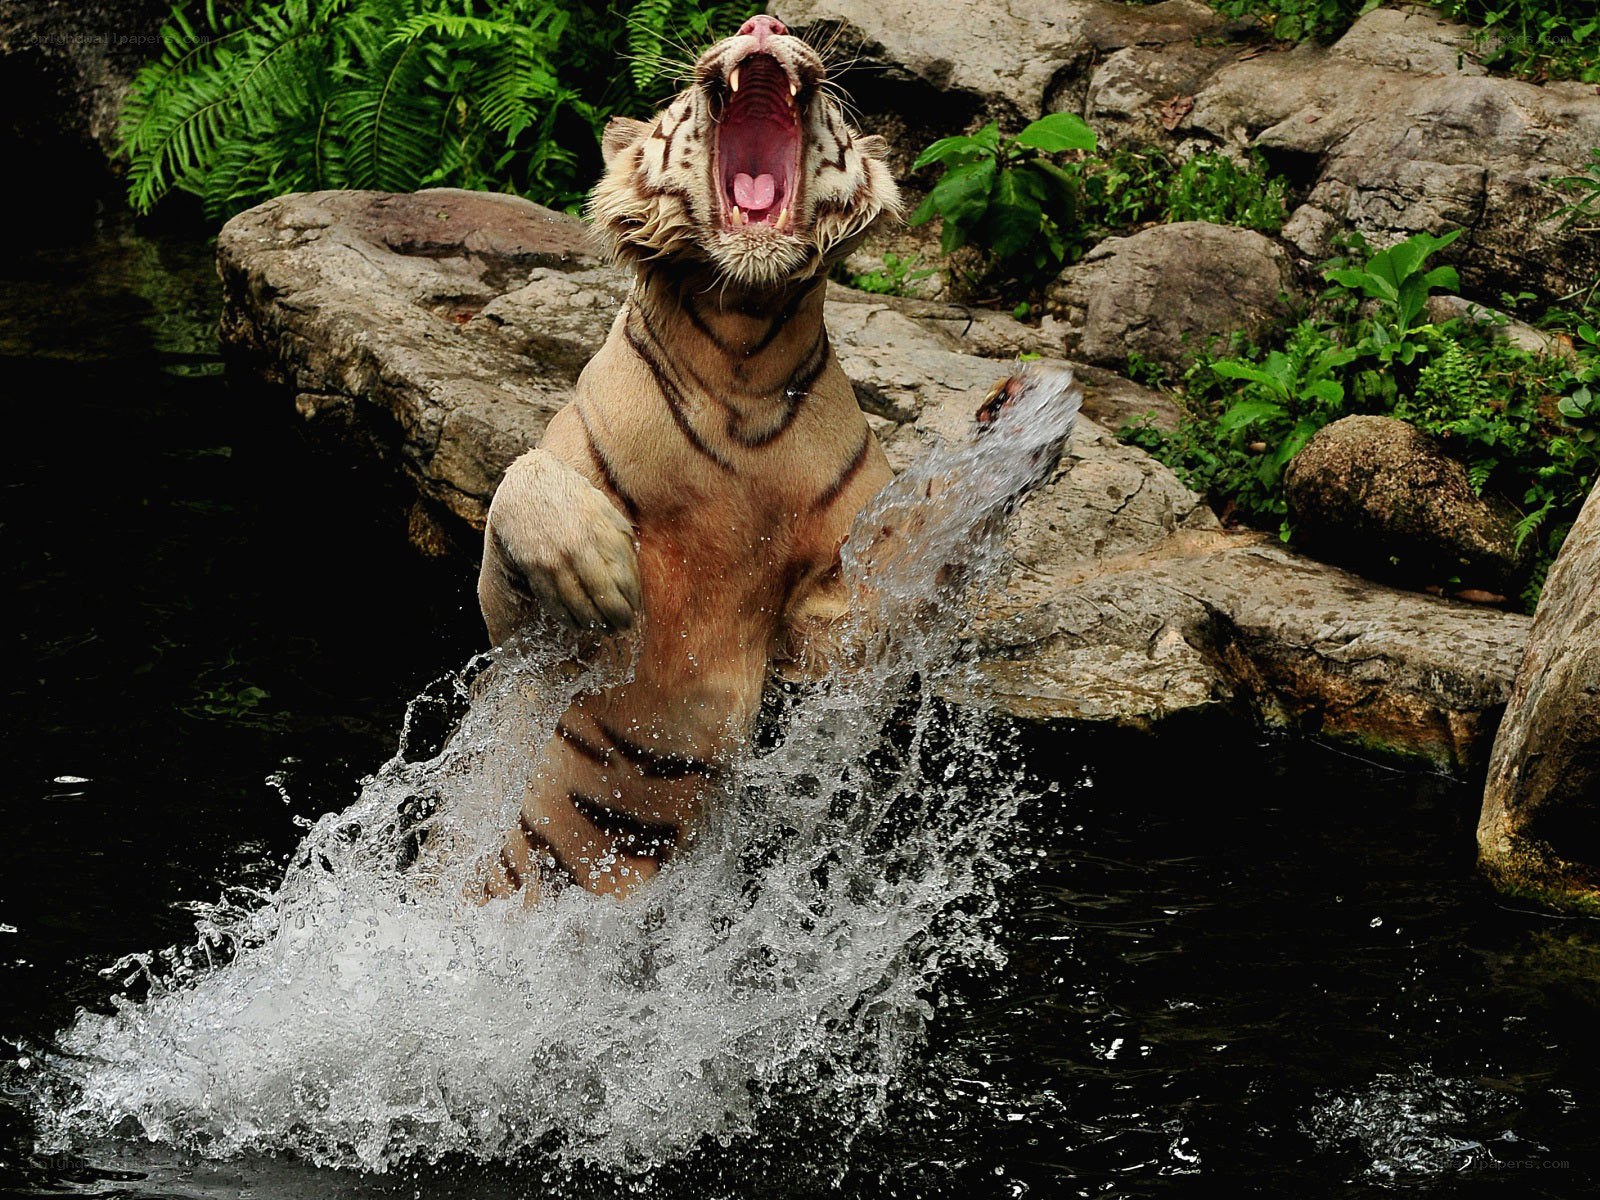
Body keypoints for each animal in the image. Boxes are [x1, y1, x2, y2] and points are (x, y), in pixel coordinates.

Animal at [474, 14, 1070, 903]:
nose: (766, 24)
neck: (741, 357)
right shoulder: (522, 641)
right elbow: (518, 488)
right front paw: (597, 568)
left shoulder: (831, 632)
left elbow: (916, 556)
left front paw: (1020, 423)